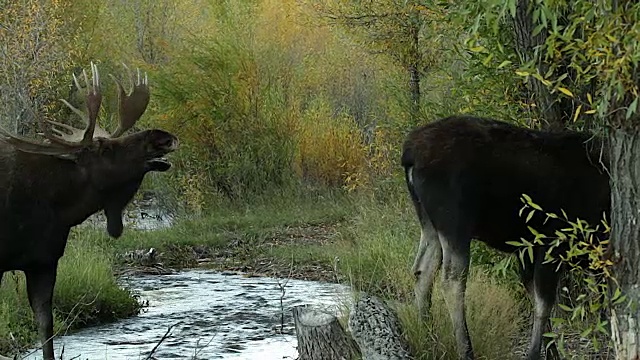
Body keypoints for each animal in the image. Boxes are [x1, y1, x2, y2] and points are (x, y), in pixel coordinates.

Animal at [402, 116, 612, 360]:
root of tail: (408, 154)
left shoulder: (527, 250)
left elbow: (536, 296)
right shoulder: (552, 242)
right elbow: (544, 302)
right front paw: (534, 353)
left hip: (429, 224)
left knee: (422, 271)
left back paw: (429, 338)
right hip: (455, 222)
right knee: (452, 280)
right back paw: (465, 349)